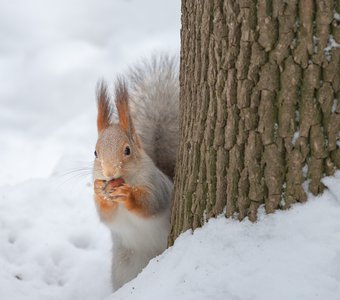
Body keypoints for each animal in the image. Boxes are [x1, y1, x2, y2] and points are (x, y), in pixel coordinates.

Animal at [91, 54, 179, 290]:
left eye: (127, 150)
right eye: (95, 152)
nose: (109, 172)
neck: (127, 178)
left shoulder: (157, 186)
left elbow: (150, 204)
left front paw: (128, 195)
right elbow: (105, 216)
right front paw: (99, 193)